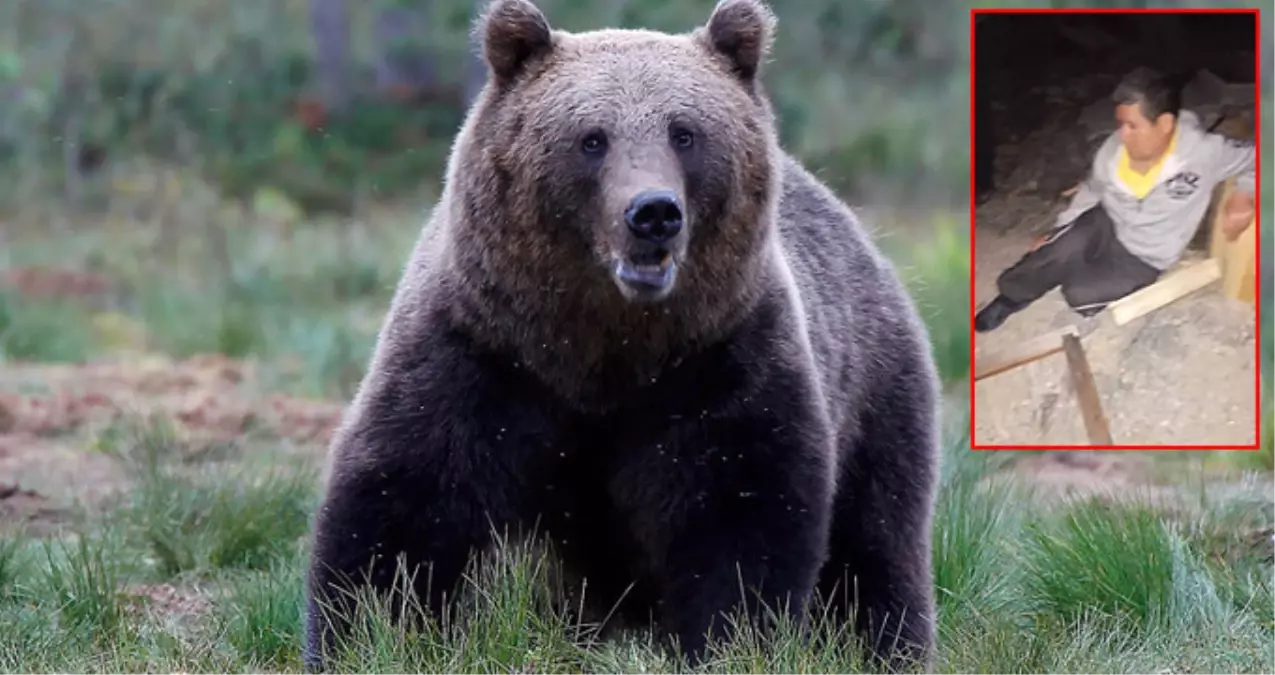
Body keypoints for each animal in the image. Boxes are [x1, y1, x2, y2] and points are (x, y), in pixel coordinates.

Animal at [303, 0, 943, 668]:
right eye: (592, 138)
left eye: (684, 132)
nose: (654, 212)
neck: (602, 348)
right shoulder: (481, 353)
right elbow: (404, 504)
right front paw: (369, 637)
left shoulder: (718, 363)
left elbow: (742, 516)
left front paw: (733, 641)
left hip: (874, 395)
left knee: (874, 548)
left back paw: (885, 646)